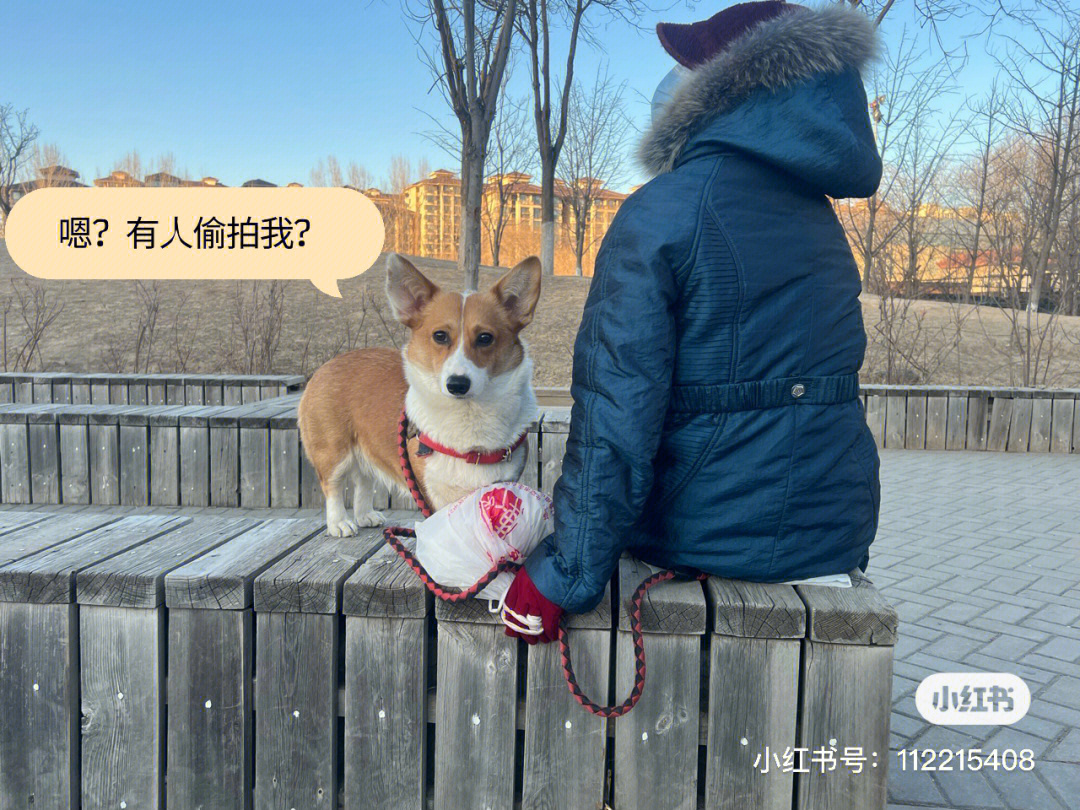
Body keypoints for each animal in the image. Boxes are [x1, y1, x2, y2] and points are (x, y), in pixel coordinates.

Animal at [298, 253, 540, 533]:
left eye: (485, 338)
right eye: (440, 336)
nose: (457, 384)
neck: (469, 416)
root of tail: (326, 365)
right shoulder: (431, 493)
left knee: (364, 480)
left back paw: (365, 515)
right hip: (333, 451)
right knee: (333, 486)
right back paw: (340, 523)